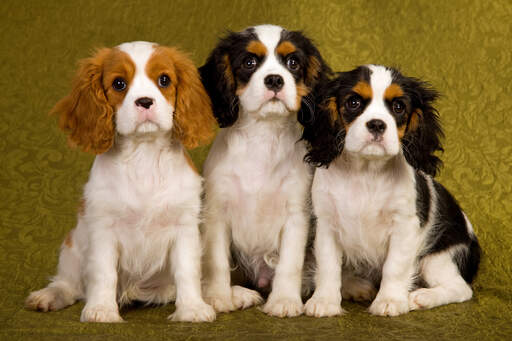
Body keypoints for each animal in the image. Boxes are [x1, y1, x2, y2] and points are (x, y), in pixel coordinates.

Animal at [25, 41, 217, 320]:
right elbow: (104, 272)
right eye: (119, 84)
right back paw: (50, 295)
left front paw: (192, 308)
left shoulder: (185, 227)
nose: (145, 102)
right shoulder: (103, 228)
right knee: (69, 284)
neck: (143, 154)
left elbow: (187, 270)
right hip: (71, 247)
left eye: (164, 80)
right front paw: (101, 310)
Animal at [198, 23, 330, 316]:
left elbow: (290, 263)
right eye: (249, 62)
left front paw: (284, 301)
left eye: (293, 63)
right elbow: (216, 261)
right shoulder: (216, 212)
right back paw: (240, 294)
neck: (263, 134)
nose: (275, 80)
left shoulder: (297, 214)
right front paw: (218, 298)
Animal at [300, 64, 480, 316]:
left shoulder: (404, 225)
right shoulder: (326, 223)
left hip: (439, 258)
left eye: (398, 107)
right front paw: (325, 301)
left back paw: (422, 297)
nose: (377, 124)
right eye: (353, 102)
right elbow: (328, 266)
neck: (365, 171)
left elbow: (394, 266)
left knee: (462, 289)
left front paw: (390, 301)